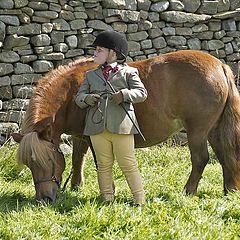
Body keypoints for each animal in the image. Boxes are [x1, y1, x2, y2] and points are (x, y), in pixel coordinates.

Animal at [11, 50, 240, 202]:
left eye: (49, 160)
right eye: (29, 164)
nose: (44, 199)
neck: (72, 93)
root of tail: (220, 67)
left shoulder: (93, 138)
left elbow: (98, 163)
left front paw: (108, 192)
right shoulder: (80, 136)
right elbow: (77, 160)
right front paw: (76, 187)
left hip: (197, 131)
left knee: (201, 159)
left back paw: (188, 192)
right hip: (213, 130)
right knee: (225, 156)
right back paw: (229, 190)